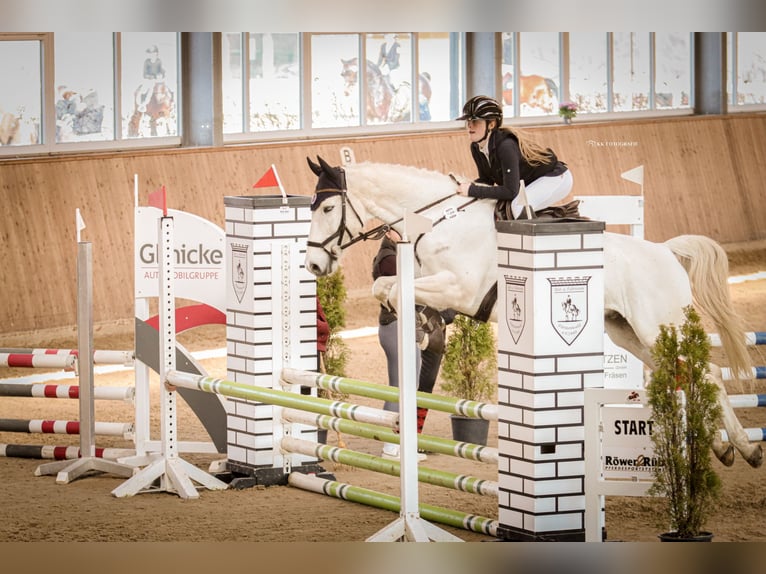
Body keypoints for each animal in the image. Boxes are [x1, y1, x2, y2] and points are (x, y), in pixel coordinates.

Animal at [303, 155, 763, 469]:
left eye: (326, 209)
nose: (313, 265)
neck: (438, 220)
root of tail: (666, 251)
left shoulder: (461, 288)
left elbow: (397, 290)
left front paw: (419, 321)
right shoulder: (428, 278)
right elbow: (386, 287)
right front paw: (422, 319)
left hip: (657, 325)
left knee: (709, 373)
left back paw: (744, 448)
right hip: (628, 332)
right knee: (689, 373)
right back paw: (724, 447)